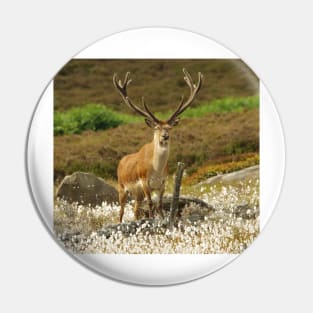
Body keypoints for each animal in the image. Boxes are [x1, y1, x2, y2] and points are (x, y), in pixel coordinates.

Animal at [112, 68, 202, 222]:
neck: (156, 169)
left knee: (135, 210)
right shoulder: (144, 181)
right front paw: (152, 220)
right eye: (157, 128)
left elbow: (159, 205)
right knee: (121, 211)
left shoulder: (163, 183)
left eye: (169, 128)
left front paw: (163, 219)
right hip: (122, 186)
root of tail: (121, 162)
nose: (165, 136)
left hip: (137, 193)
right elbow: (150, 204)